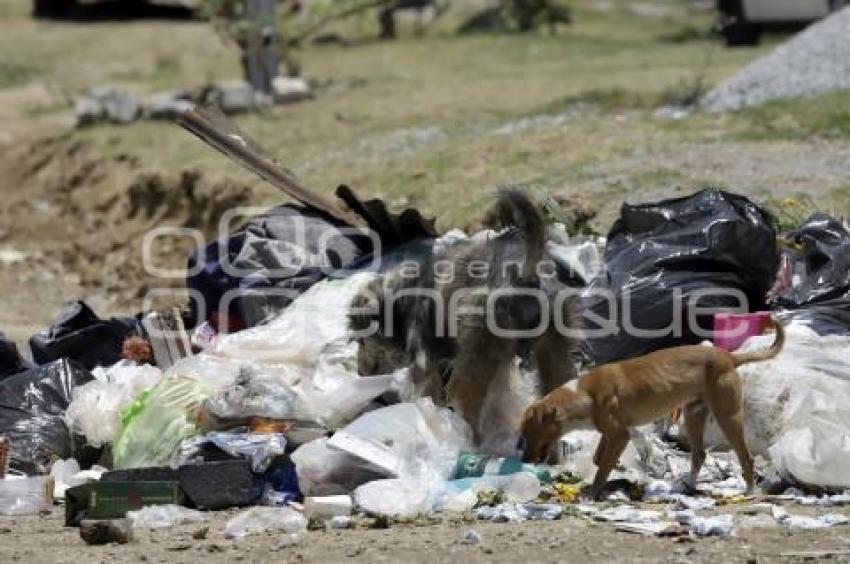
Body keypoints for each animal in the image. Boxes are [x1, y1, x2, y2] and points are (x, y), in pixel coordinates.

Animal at [520, 318, 784, 498]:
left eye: (530, 432)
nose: (524, 460)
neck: (583, 394)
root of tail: (728, 357)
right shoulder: (612, 433)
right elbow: (598, 459)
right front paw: (614, 468)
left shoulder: (620, 435)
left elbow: (602, 468)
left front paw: (593, 492)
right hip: (693, 414)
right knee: (699, 454)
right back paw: (687, 486)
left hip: (727, 416)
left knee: (746, 457)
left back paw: (750, 491)